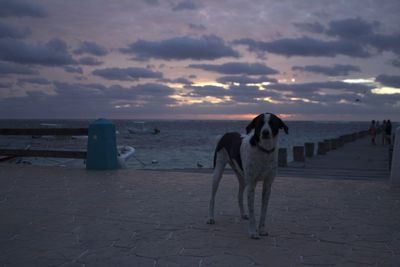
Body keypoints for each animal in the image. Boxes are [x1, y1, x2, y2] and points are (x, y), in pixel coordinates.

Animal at [206, 113, 288, 241]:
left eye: (272, 123)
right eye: (260, 123)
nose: (265, 132)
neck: (264, 151)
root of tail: (225, 134)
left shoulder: (267, 185)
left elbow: (264, 211)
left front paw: (262, 229)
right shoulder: (252, 185)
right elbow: (253, 211)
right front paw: (253, 232)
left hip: (243, 179)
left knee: (239, 196)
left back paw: (243, 214)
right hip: (218, 173)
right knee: (212, 198)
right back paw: (210, 217)